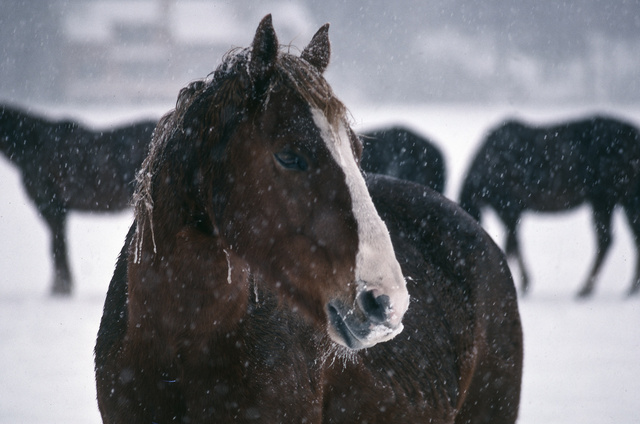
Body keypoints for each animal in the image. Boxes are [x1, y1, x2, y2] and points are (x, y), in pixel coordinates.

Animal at [459, 116, 640, 298]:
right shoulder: (510, 211)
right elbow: (515, 244)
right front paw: (525, 282)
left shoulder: (508, 208)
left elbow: (511, 245)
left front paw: (521, 283)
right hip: (622, 200)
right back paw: (629, 287)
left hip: (604, 199)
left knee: (606, 239)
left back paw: (586, 289)